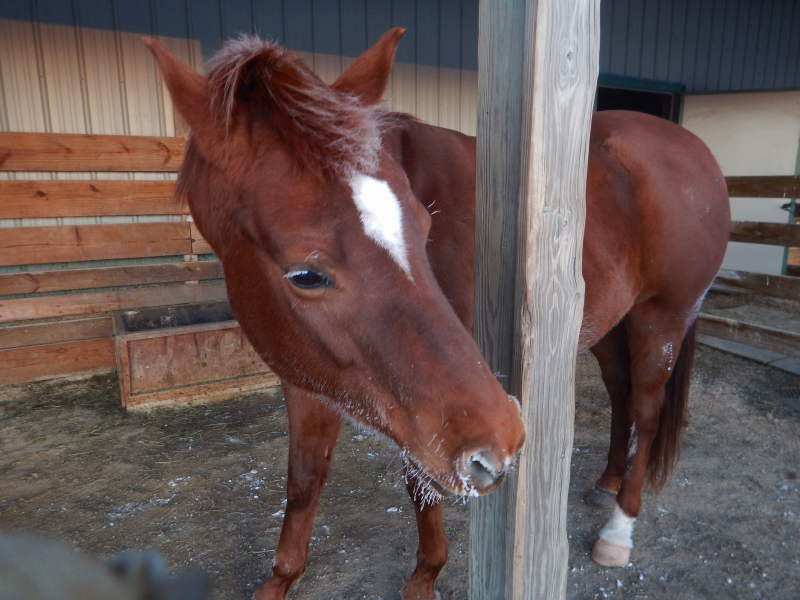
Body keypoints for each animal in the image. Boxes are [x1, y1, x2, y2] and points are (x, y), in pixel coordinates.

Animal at [145, 27, 730, 599]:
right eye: (305, 275)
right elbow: (304, 479)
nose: (507, 441)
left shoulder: (427, 415)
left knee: (647, 411)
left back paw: (618, 529)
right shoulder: (310, 377)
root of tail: (693, 148)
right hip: (608, 325)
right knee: (621, 394)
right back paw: (606, 482)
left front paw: (427, 574)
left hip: (663, 318)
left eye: (425, 229)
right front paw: (282, 578)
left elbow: (418, 481)